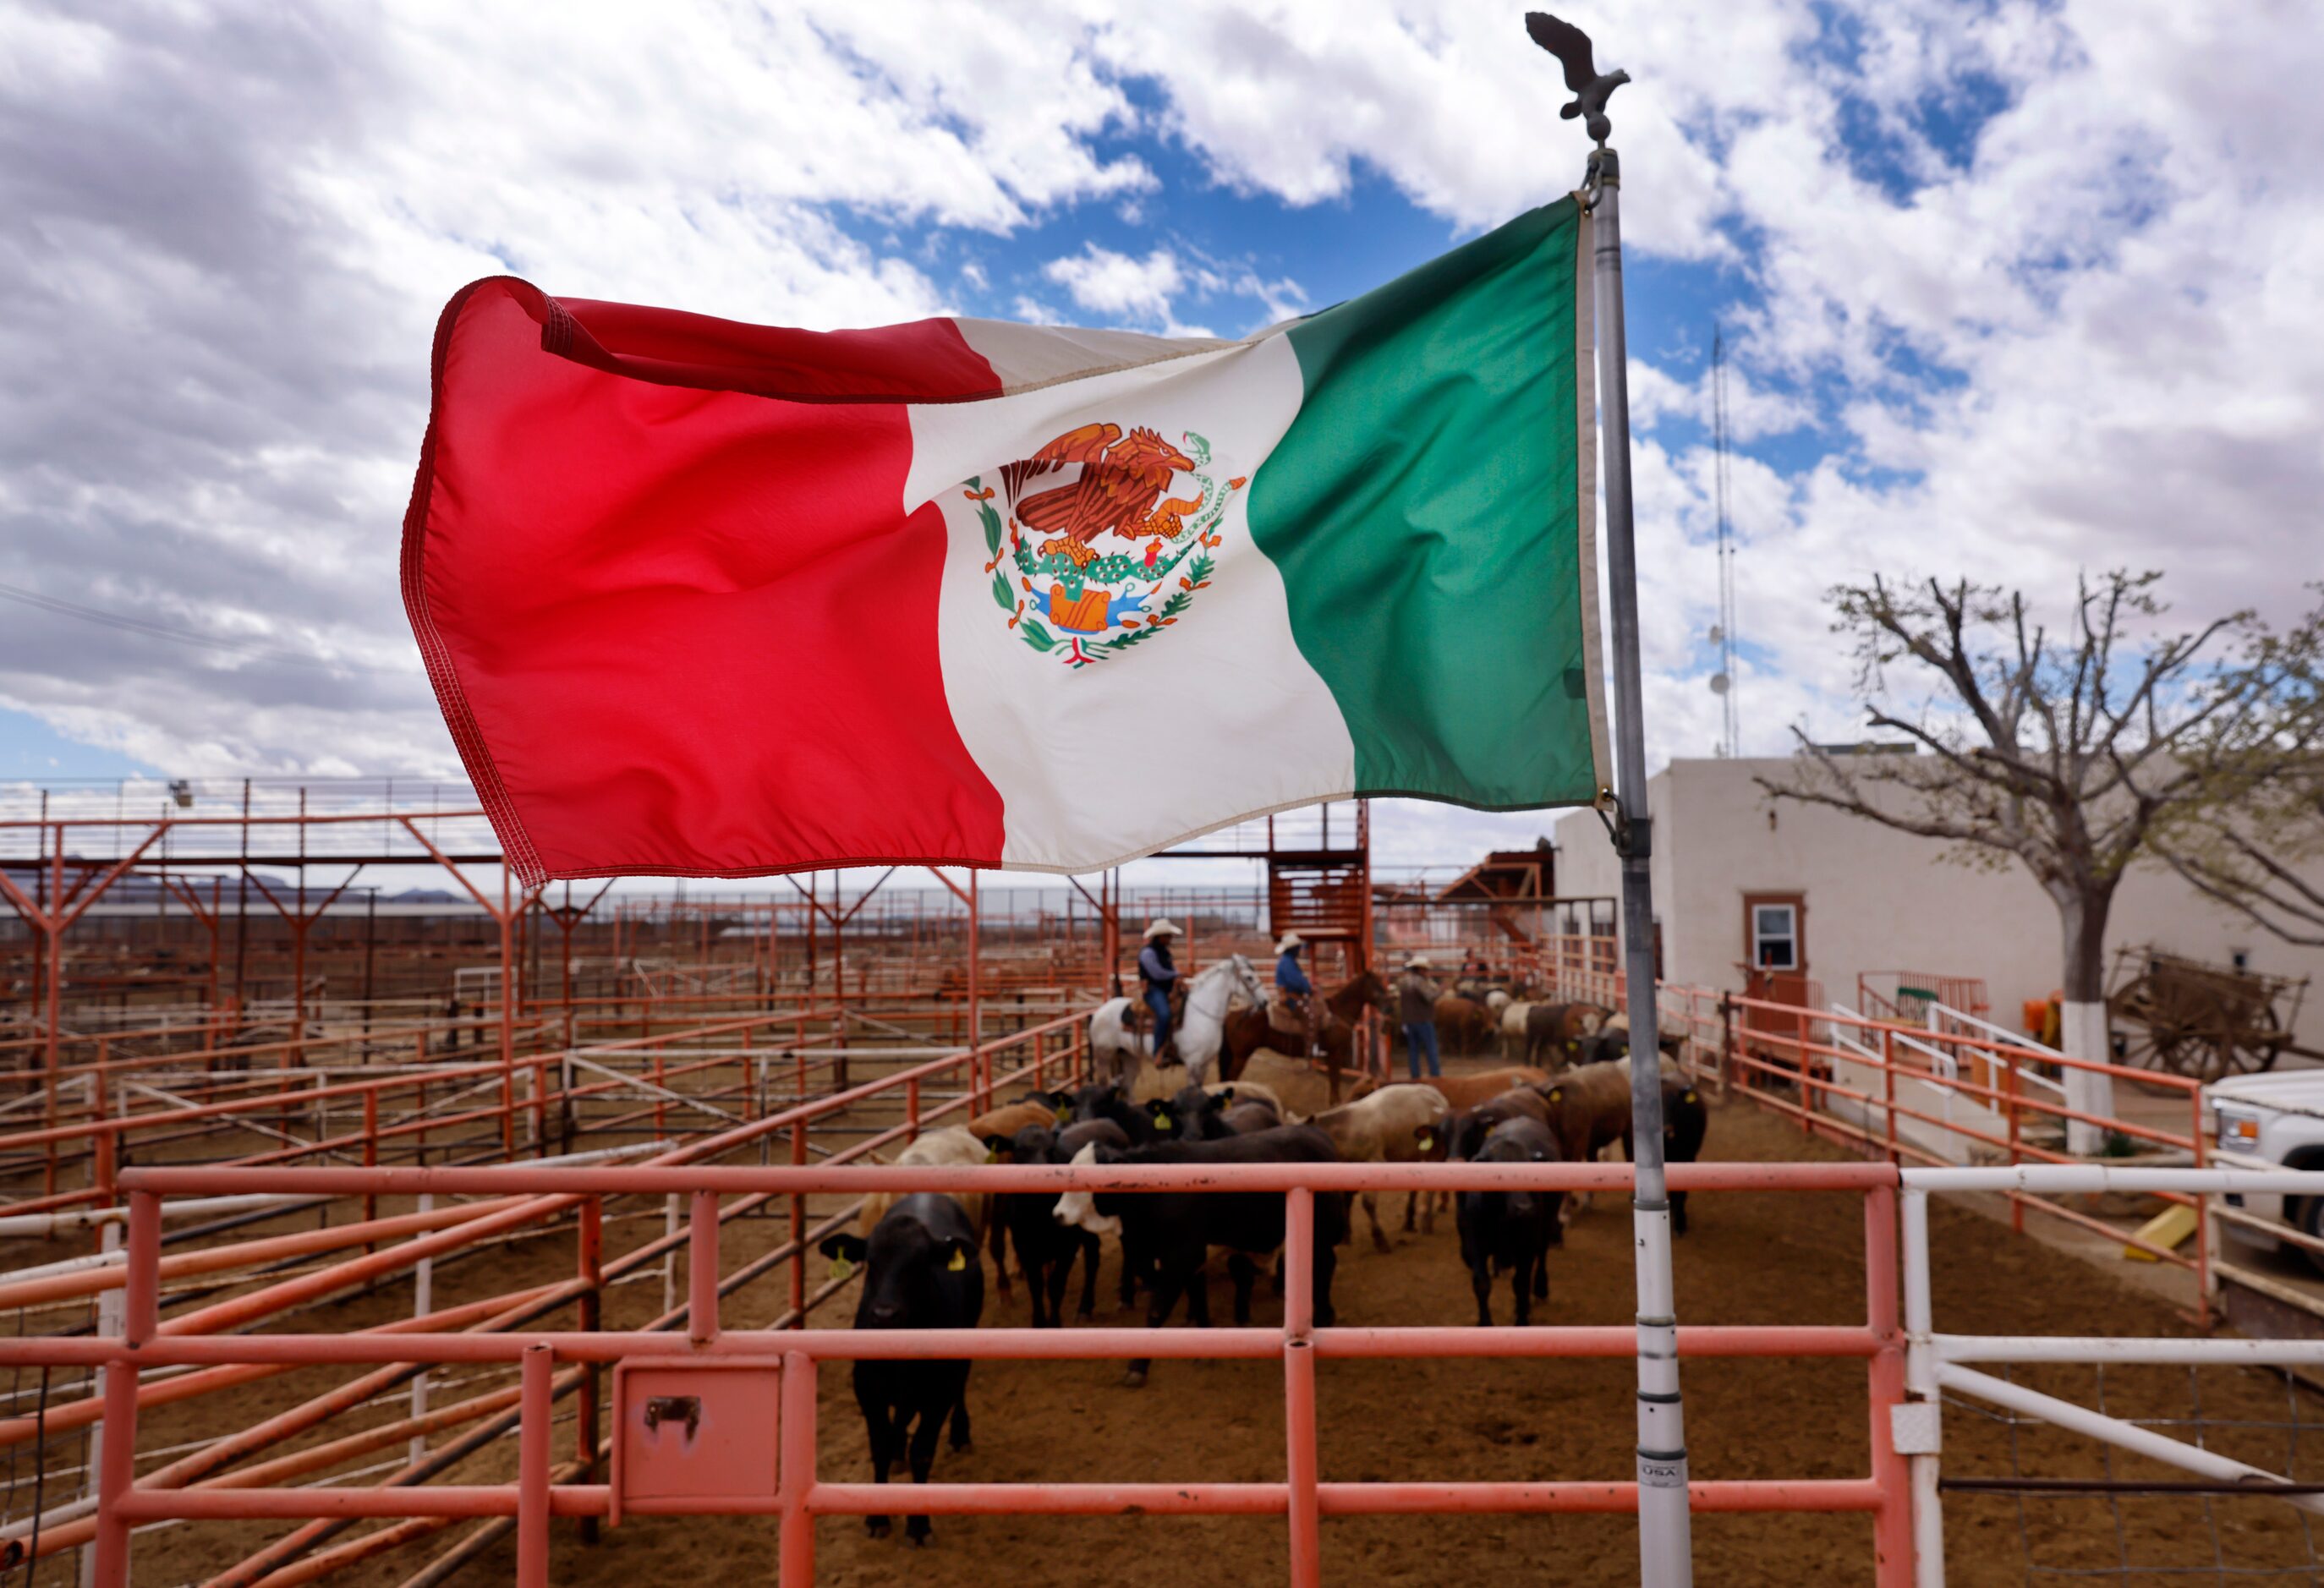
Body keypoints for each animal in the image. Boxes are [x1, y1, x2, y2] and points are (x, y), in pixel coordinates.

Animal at [1083, 957, 1263, 1092]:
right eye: (1249, 977)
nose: (1265, 1001)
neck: (1201, 1014)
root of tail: (1098, 1012)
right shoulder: (1192, 1063)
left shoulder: (1204, 1064)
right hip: (1104, 1055)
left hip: (1129, 1055)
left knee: (1126, 1087)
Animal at [1226, 966, 1384, 1106]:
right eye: (1377, 985)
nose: (1387, 1005)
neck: (1339, 1012)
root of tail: (1234, 1015)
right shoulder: (1335, 1053)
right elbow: (1335, 1078)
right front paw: (1336, 1102)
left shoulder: (1331, 1054)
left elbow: (1333, 1078)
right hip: (1240, 1057)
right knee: (1231, 1079)